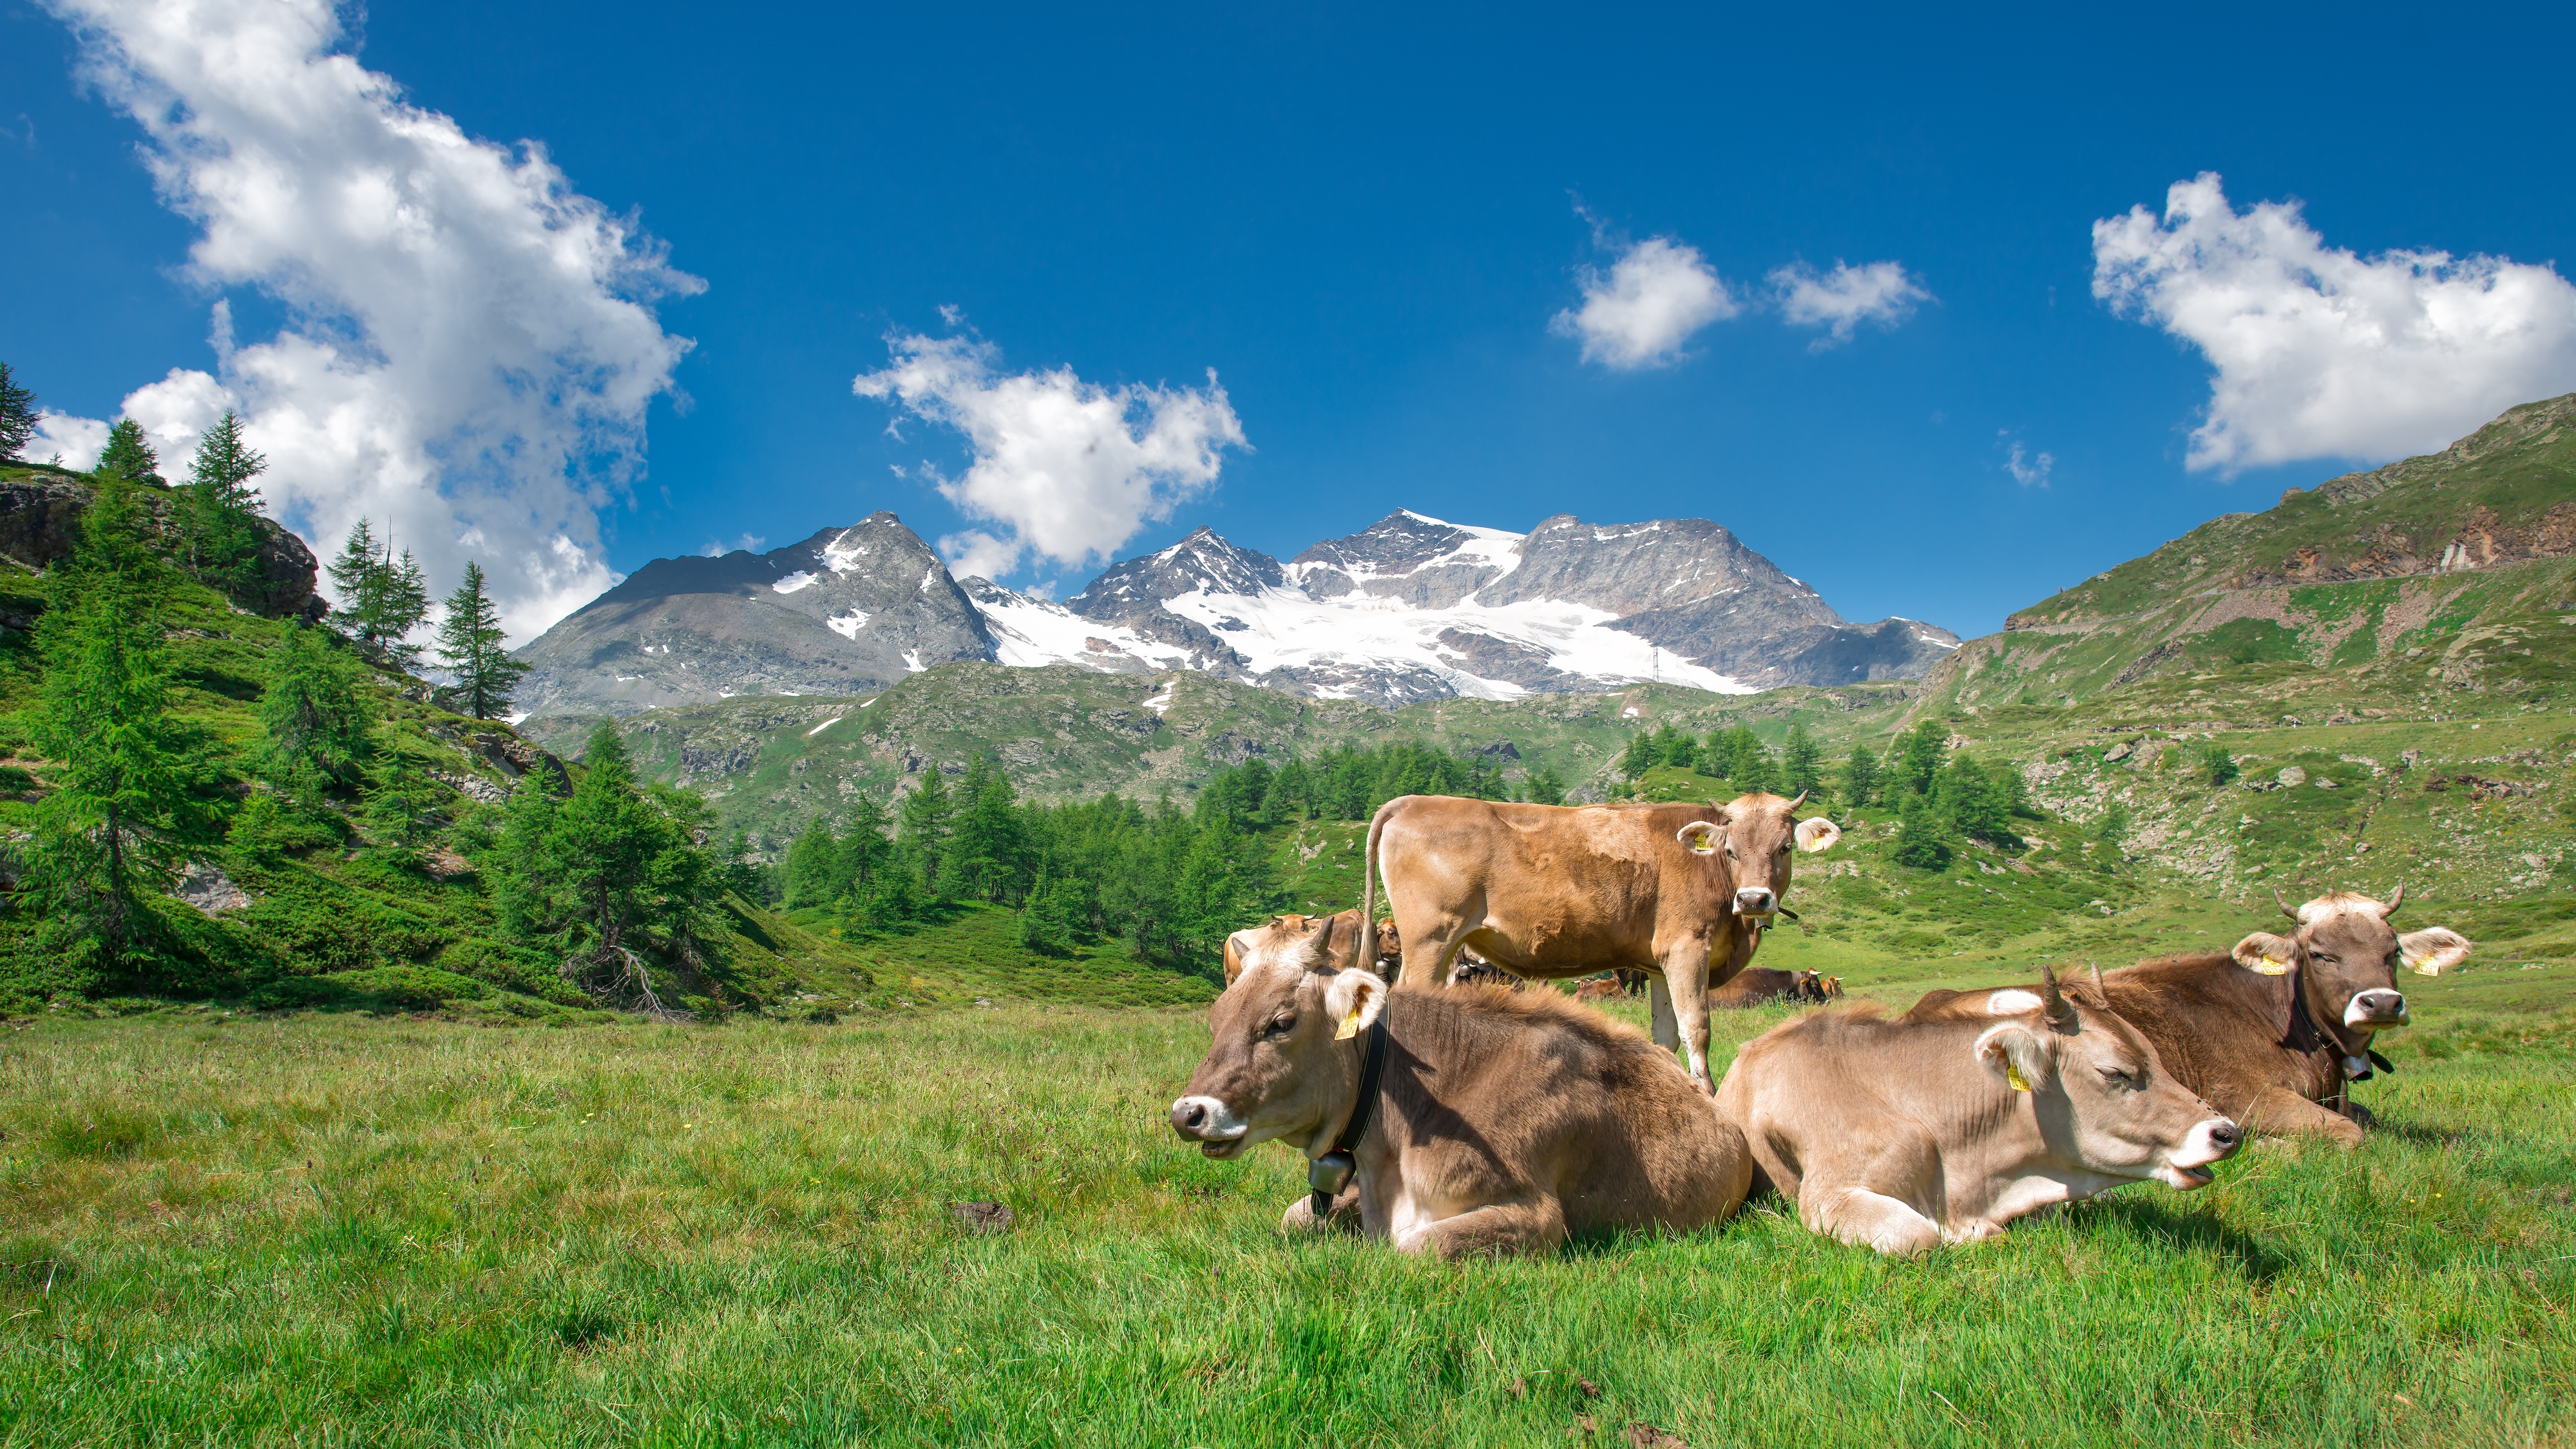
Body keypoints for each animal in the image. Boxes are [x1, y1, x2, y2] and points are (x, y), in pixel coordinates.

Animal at [1169, 917, 1751, 1247]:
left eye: (1280, 1022)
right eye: (1217, 1016)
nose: (1187, 1113)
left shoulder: (1536, 1214)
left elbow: (1413, 1247)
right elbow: (1294, 1216)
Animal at [1360, 789, 1844, 1082]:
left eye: (1784, 847)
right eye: (1730, 849)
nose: (1754, 898)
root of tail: (1411, 801)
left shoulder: (1659, 963)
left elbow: (1666, 1035)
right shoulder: (1688, 949)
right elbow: (1698, 1029)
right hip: (1429, 940)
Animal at [1916, 881, 2473, 1139]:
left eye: (2391, 950)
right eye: (2319, 953)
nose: (2379, 1002)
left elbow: (2365, 1118)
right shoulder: (2247, 1097)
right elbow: (2349, 1133)